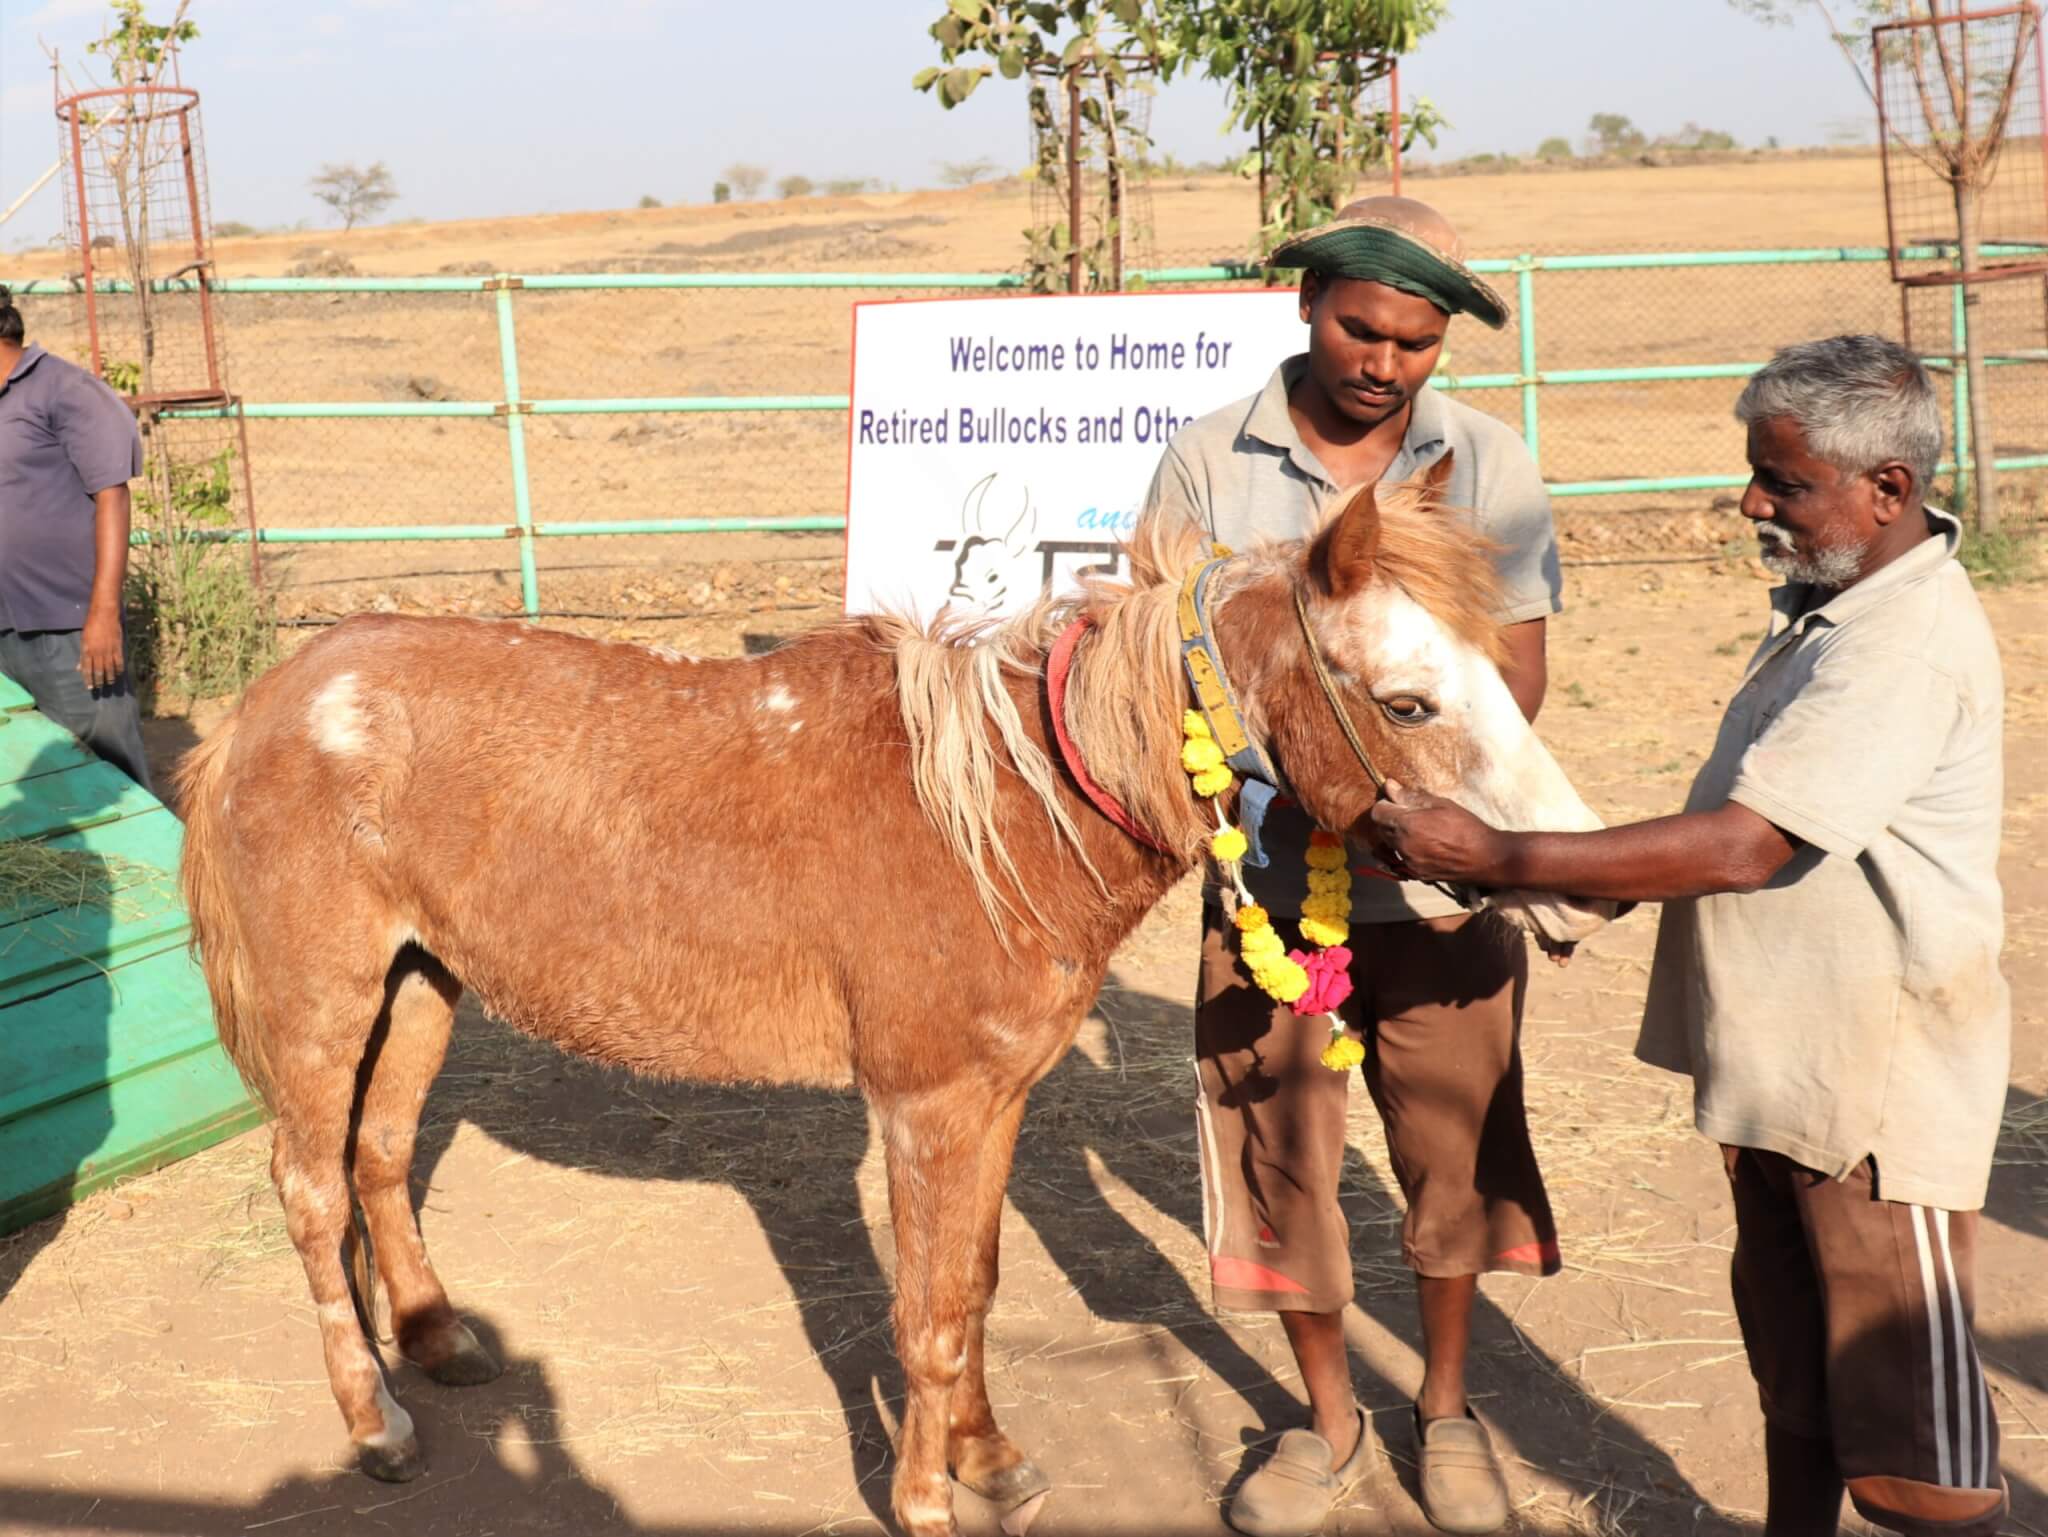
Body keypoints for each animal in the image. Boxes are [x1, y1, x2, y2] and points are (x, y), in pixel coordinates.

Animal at [176, 463, 1605, 1537]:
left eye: (1499, 665)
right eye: (1406, 700)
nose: (1578, 884)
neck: (1003, 813)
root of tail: (263, 705)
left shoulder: (993, 1103)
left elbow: (969, 1287)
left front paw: (987, 1458)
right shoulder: (925, 1109)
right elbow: (922, 1314)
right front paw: (925, 1497)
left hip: (423, 984)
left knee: (378, 1155)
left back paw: (433, 1339)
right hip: (324, 1006)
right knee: (312, 1189)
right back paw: (375, 1421)